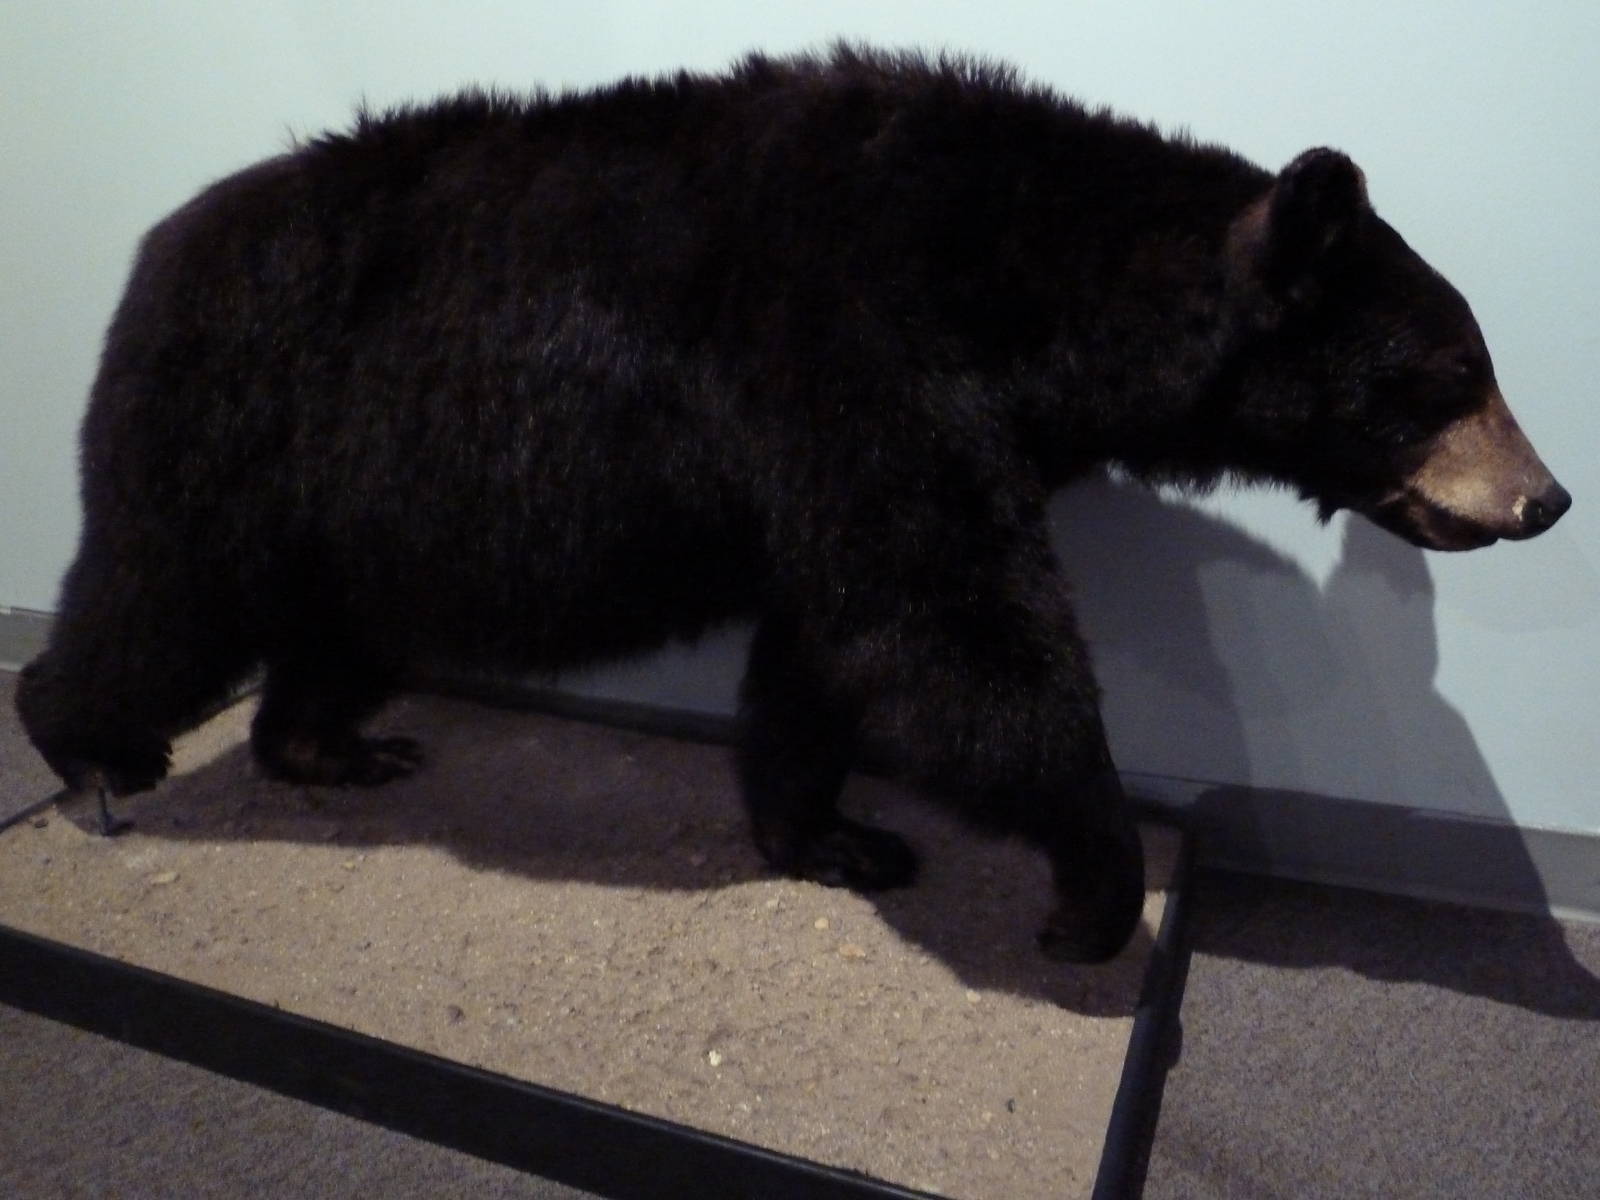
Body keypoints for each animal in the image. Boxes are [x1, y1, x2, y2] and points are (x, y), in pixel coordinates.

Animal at [16, 45, 1569, 963]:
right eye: (1453, 371)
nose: (1547, 497)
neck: (1024, 279)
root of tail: (158, 245)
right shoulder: (854, 347)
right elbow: (943, 634)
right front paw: (1094, 883)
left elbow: (836, 646)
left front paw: (829, 834)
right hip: (234, 423)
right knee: (156, 588)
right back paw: (88, 748)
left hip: (362, 507)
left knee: (338, 625)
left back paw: (331, 744)